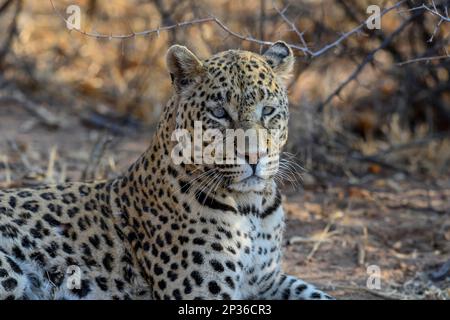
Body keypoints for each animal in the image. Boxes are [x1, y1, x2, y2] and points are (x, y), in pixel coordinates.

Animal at [0, 42, 334, 300]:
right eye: (219, 113)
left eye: (268, 111)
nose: (254, 155)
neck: (252, 208)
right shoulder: (201, 293)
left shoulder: (268, 280)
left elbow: (318, 294)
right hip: (11, 275)